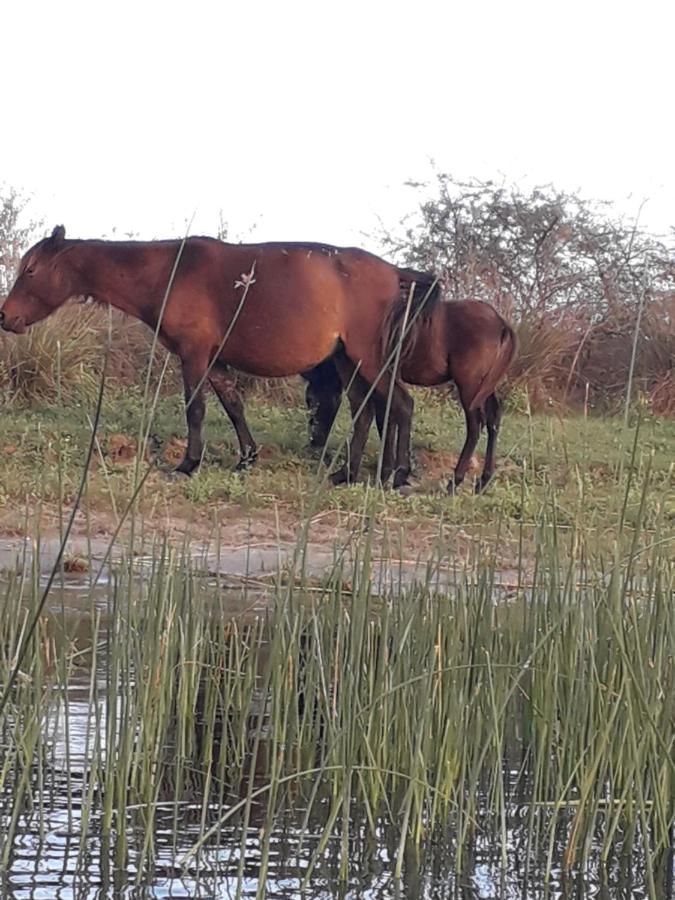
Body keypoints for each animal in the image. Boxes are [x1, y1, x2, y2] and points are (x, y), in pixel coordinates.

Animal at [0, 225, 436, 486]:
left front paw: (187, 464)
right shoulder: (213, 359)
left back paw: (398, 473)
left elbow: (196, 408)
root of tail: (396, 272)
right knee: (366, 409)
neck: (168, 270)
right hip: (349, 360)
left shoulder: (193, 355)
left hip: (370, 357)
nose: (5, 316)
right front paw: (247, 458)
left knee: (401, 404)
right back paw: (348, 472)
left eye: (32, 270)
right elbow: (233, 404)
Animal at [302, 296, 516, 492]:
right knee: (493, 419)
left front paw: (385, 473)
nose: (314, 441)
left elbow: (384, 419)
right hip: (485, 386)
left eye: (311, 400)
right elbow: (386, 419)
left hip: (469, 385)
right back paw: (482, 481)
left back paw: (454, 483)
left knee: (475, 425)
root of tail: (502, 324)